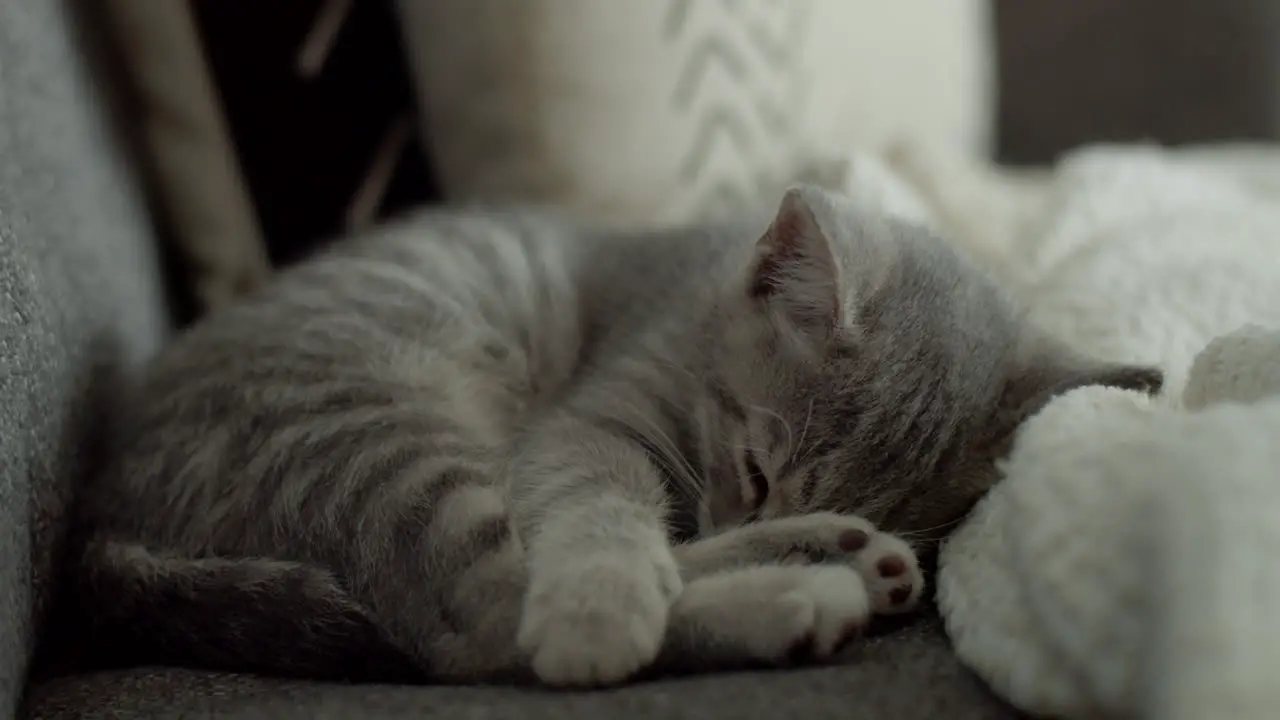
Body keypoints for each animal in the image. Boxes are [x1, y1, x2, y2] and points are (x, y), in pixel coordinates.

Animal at [52, 183, 1162, 681]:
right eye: (755, 466)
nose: (754, 510)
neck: (695, 294)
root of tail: (101, 515)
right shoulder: (588, 420)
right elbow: (600, 513)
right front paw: (600, 601)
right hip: (374, 430)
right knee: (486, 622)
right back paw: (795, 587)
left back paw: (828, 558)